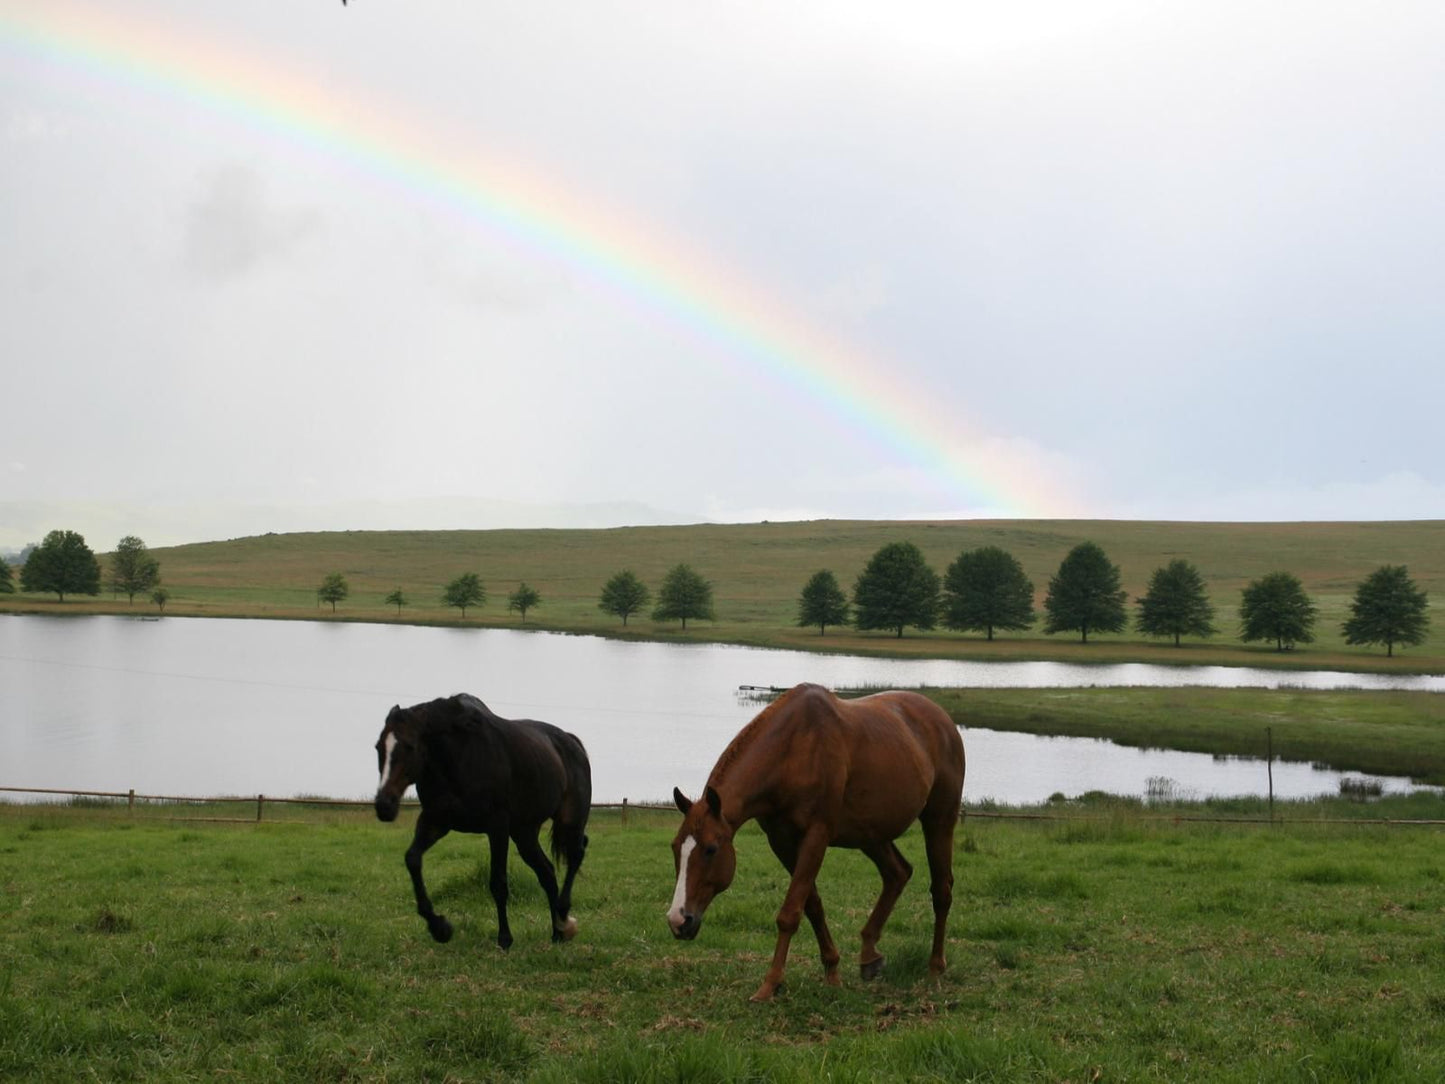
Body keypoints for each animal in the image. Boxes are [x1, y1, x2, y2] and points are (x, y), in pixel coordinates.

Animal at [378, 696, 598, 948]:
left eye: (409, 746)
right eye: (378, 747)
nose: (384, 805)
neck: (458, 756)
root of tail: (573, 743)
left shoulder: (497, 825)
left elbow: (498, 882)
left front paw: (505, 938)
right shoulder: (436, 820)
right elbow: (413, 859)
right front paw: (440, 928)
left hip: (570, 820)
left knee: (576, 853)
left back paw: (564, 918)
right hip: (524, 833)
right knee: (548, 873)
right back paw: (557, 933)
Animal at [667, 682, 965, 1005]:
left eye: (711, 849)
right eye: (675, 848)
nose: (678, 920)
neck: (793, 751)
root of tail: (944, 720)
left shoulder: (816, 835)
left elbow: (790, 913)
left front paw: (770, 985)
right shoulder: (782, 841)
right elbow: (812, 905)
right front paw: (832, 971)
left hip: (939, 820)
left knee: (941, 890)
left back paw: (935, 968)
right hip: (870, 834)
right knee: (898, 873)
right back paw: (869, 955)